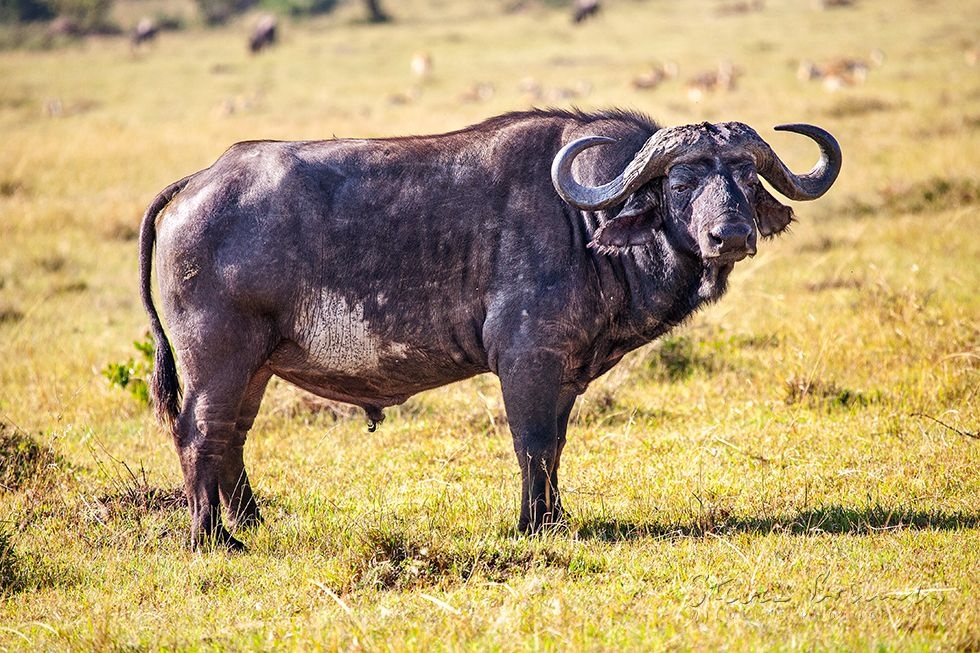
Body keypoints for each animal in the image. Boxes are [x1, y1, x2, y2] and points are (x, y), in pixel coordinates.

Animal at [139, 109, 841, 549]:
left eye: (744, 176)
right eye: (684, 178)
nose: (732, 235)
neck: (584, 224)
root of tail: (199, 181)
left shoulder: (564, 373)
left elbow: (554, 446)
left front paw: (554, 520)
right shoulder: (528, 362)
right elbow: (533, 443)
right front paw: (532, 525)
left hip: (255, 367)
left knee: (232, 437)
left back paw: (251, 524)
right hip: (218, 360)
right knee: (198, 433)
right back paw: (212, 538)